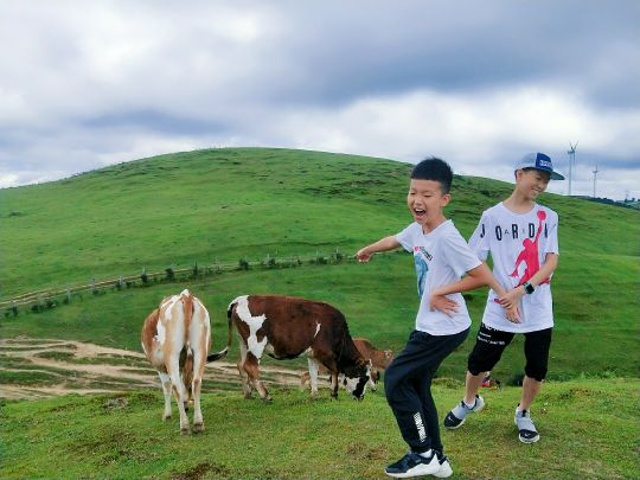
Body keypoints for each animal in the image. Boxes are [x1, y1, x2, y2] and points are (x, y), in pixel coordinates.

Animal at [141, 288, 229, 436]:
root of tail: (186, 295)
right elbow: (184, 385)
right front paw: (186, 404)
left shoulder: (160, 367)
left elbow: (167, 387)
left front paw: (167, 415)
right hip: (200, 349)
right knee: (196, 382)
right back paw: (198, 423)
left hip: (171, 355)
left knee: (176, 386)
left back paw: (184, 426)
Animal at [208, 294, 372, 404]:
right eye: (365, 378)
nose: (361, 397)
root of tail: (239, 300)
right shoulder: (325, 353)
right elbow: (335, 371)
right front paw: (334, 393)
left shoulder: (313, 354)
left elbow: (313, 373)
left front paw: (314, 395)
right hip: (256, 342)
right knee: (250, 366)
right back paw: (266, 395)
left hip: (243, 341)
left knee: (241, 365)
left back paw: (248, 394)